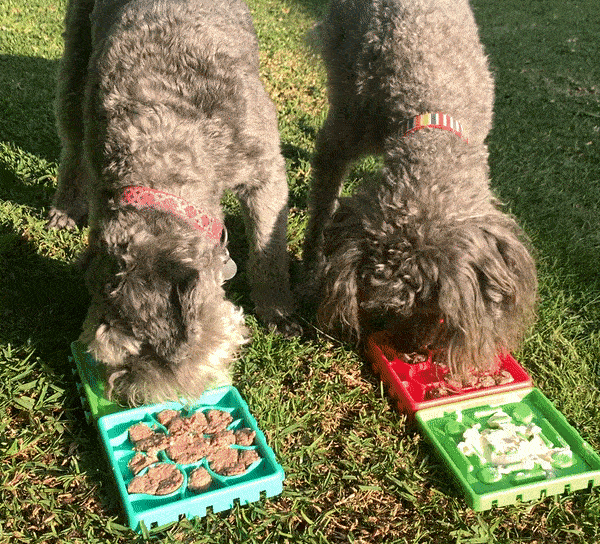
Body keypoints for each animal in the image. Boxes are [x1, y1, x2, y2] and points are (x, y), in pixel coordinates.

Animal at [49, 0, 299, 405]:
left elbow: (269, 252)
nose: (124, 393)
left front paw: (277, 309)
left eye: (143, 348)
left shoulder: (267, 171)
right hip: (76, 57)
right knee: (71, 141)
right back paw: (64, 208)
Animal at [303, 0, 537, 377]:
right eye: (385, 311)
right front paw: (310, 273)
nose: (407, 352)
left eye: (431, 307)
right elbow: (321, 210)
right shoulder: (338, 139)